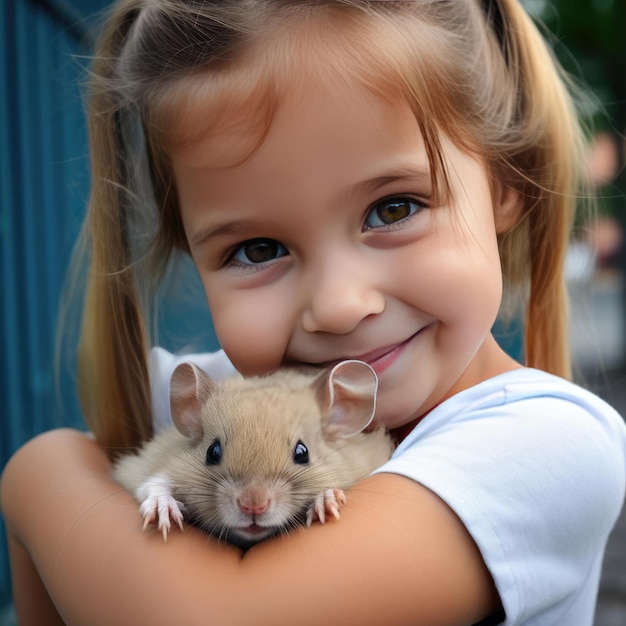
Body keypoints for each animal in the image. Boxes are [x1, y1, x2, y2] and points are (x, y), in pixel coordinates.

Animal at [112, 356, 392, 544]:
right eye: (212, 452)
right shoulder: (160, 463)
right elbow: (155, 484)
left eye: (302, 453)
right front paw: (163, 516)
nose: (253, 507)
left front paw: (326, 502)